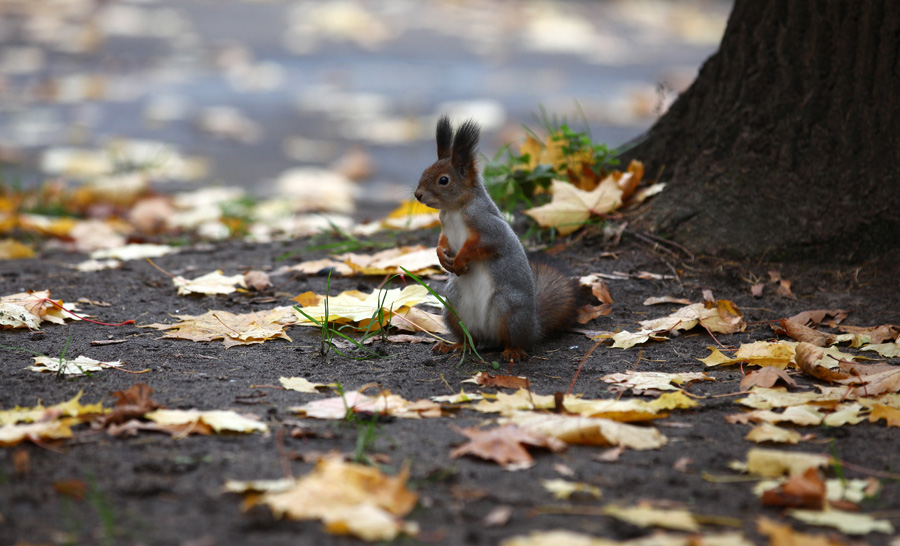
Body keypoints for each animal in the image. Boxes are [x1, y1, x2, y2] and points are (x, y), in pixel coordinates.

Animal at [414, 113, 576, 362]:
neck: (454, 210)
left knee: (515, 340)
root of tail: (535, 327)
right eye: (424, 171)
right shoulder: (445, 228)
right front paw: (442, 257)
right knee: (469, 339)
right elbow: (442, 243)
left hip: (508, 309)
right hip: (453, 307)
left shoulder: (490, 228)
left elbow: (481, 246)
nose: (418, 195)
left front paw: (459, 261)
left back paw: (513, 351)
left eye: (443, 180)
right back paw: (455, 345)